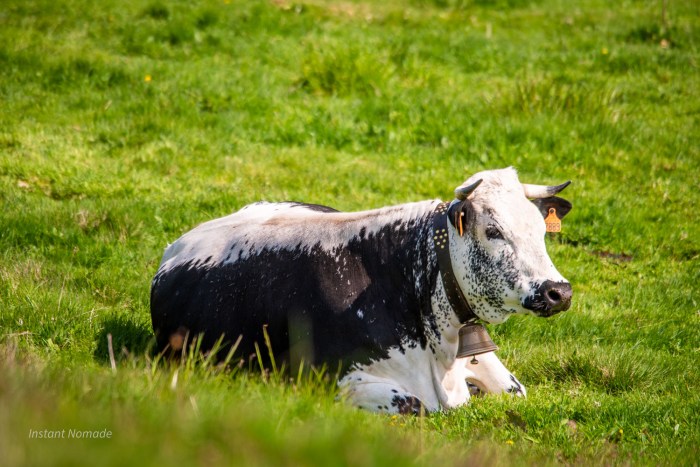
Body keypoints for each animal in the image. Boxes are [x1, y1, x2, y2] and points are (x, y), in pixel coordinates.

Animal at [150, 167, 572, 414]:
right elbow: (415, 405)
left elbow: (515, 390)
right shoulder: (332, 380)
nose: (559, 291)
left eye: (540, 229)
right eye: (493, 230)